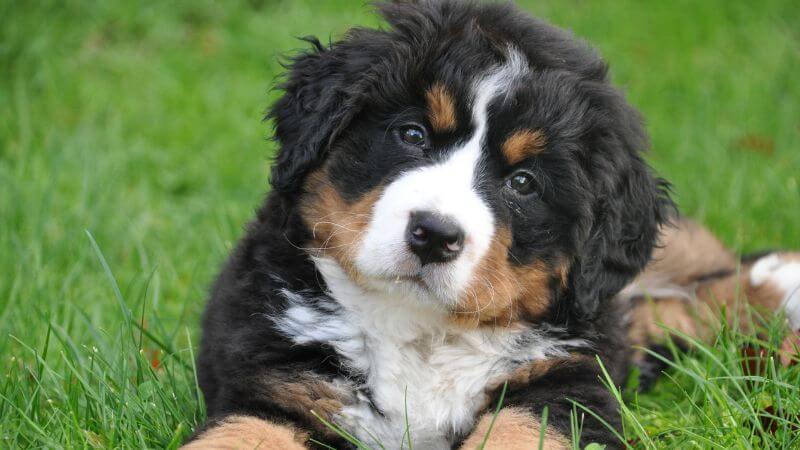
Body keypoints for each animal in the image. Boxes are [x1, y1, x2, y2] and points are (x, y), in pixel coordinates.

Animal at [186, 1, 800, 448]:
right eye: (411, 134)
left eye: (523, 182)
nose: (435, 235)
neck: (421, 332)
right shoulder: (278, 384)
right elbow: (238, 436)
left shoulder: (563, 386)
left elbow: (516, 429)